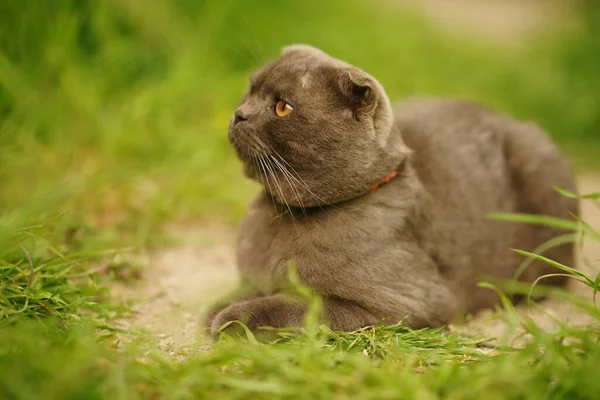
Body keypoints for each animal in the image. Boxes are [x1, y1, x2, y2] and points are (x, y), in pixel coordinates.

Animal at [205, 44, 576, 338]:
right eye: (251, 92)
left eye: (283, 107)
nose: (240, 114)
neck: (282, 219)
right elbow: (245, 288)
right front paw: (220, 305)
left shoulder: (403, 304)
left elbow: (301, 305)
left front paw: (232, 318)